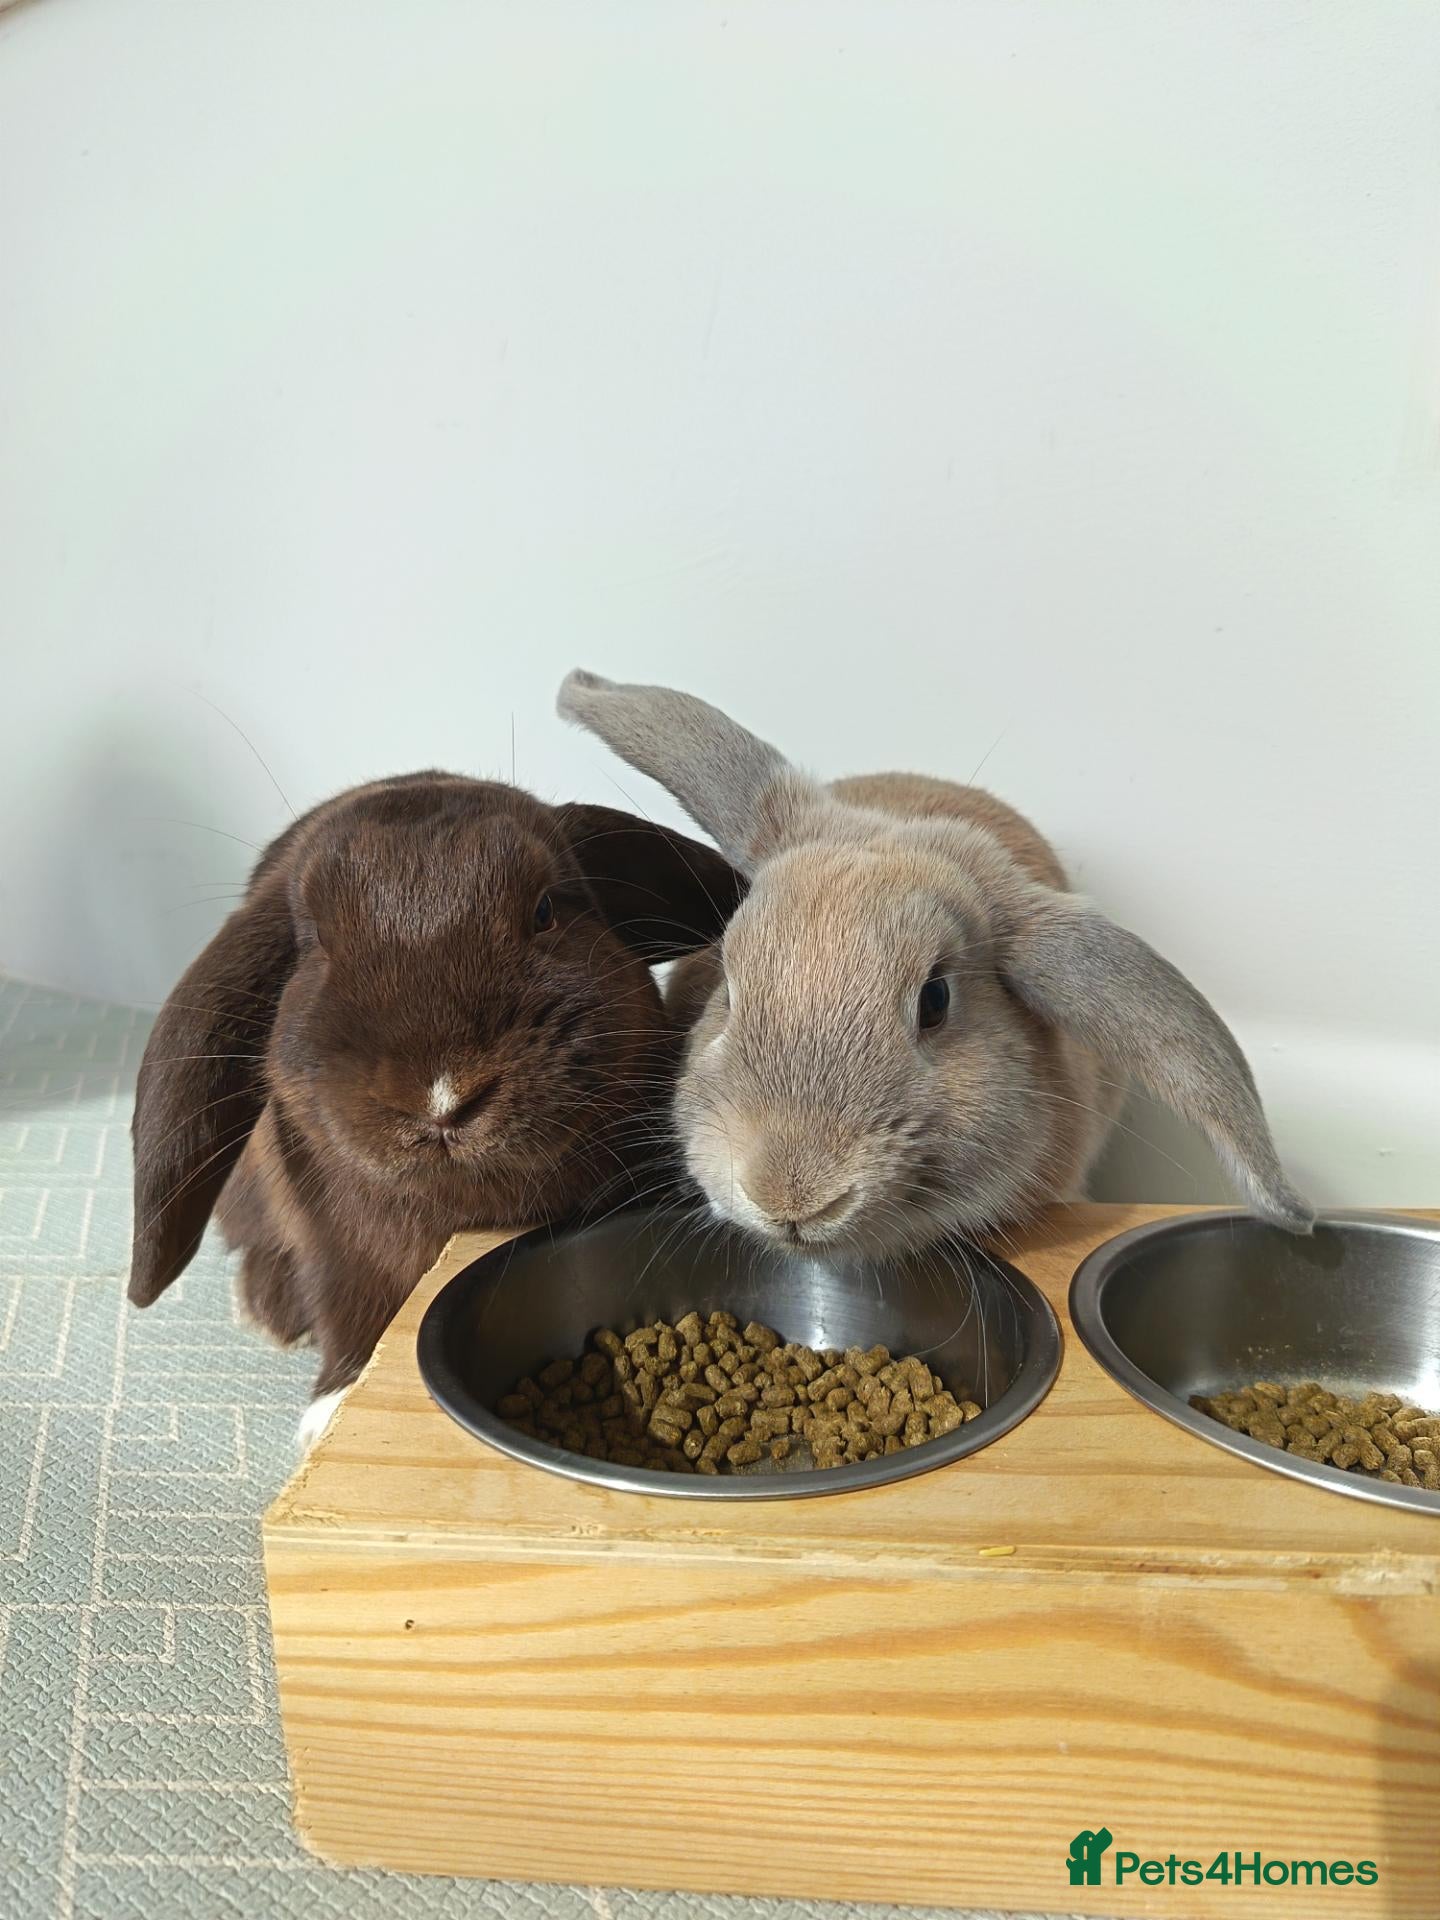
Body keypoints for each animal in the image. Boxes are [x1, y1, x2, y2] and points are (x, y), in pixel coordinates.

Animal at [128, 770, 744, 1436]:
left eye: (546, 910)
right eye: (315, 941)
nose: (440, 1096)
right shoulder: (337, 1250)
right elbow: (351, 1311)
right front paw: (330, 1410)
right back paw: (265, 1309)